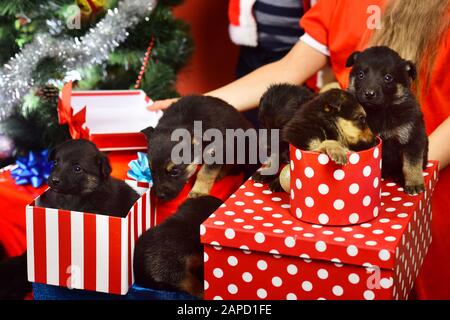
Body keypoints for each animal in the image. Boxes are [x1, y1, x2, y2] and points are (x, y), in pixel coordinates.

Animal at [346, 46, 428, 194]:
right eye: (361, 75)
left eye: (388, 78)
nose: (369, 94)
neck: (380, 111)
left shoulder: (412, 137)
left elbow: (412, 164)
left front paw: (414, 183)